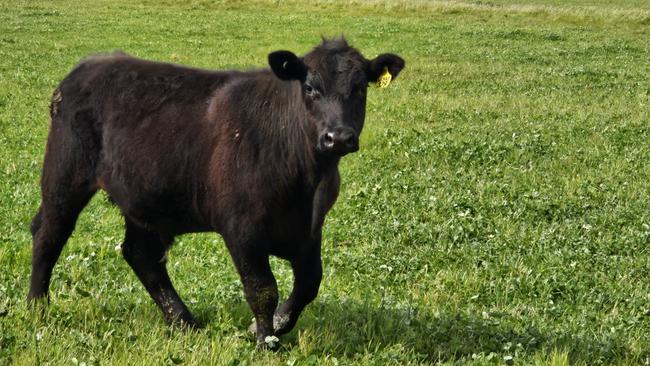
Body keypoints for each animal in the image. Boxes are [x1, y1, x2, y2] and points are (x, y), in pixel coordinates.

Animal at [29, 38, 404, 348]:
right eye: (310, 87)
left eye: (360, 88)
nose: (337, 137)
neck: (307, 181)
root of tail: (90, 64)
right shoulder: (242, 229)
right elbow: (262, 289)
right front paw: (265, 340)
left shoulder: (310, 230)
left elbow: (309, 284)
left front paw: (273, 326)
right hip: (65, 176)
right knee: (49, 236)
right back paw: (37, 307)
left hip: (147, 199)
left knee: (142, 255)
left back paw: (184, 321)